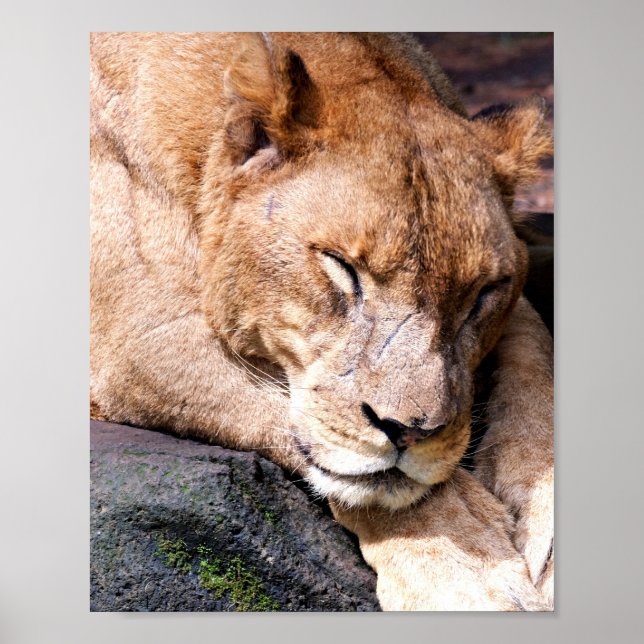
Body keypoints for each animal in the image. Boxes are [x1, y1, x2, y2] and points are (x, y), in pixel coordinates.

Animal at [90, 32, 554, 611]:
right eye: (341, 267)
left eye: (482, 295)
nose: (410, 431)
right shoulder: (141, 338)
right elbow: (333, 450)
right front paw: (470, 571)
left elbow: (537, 358)